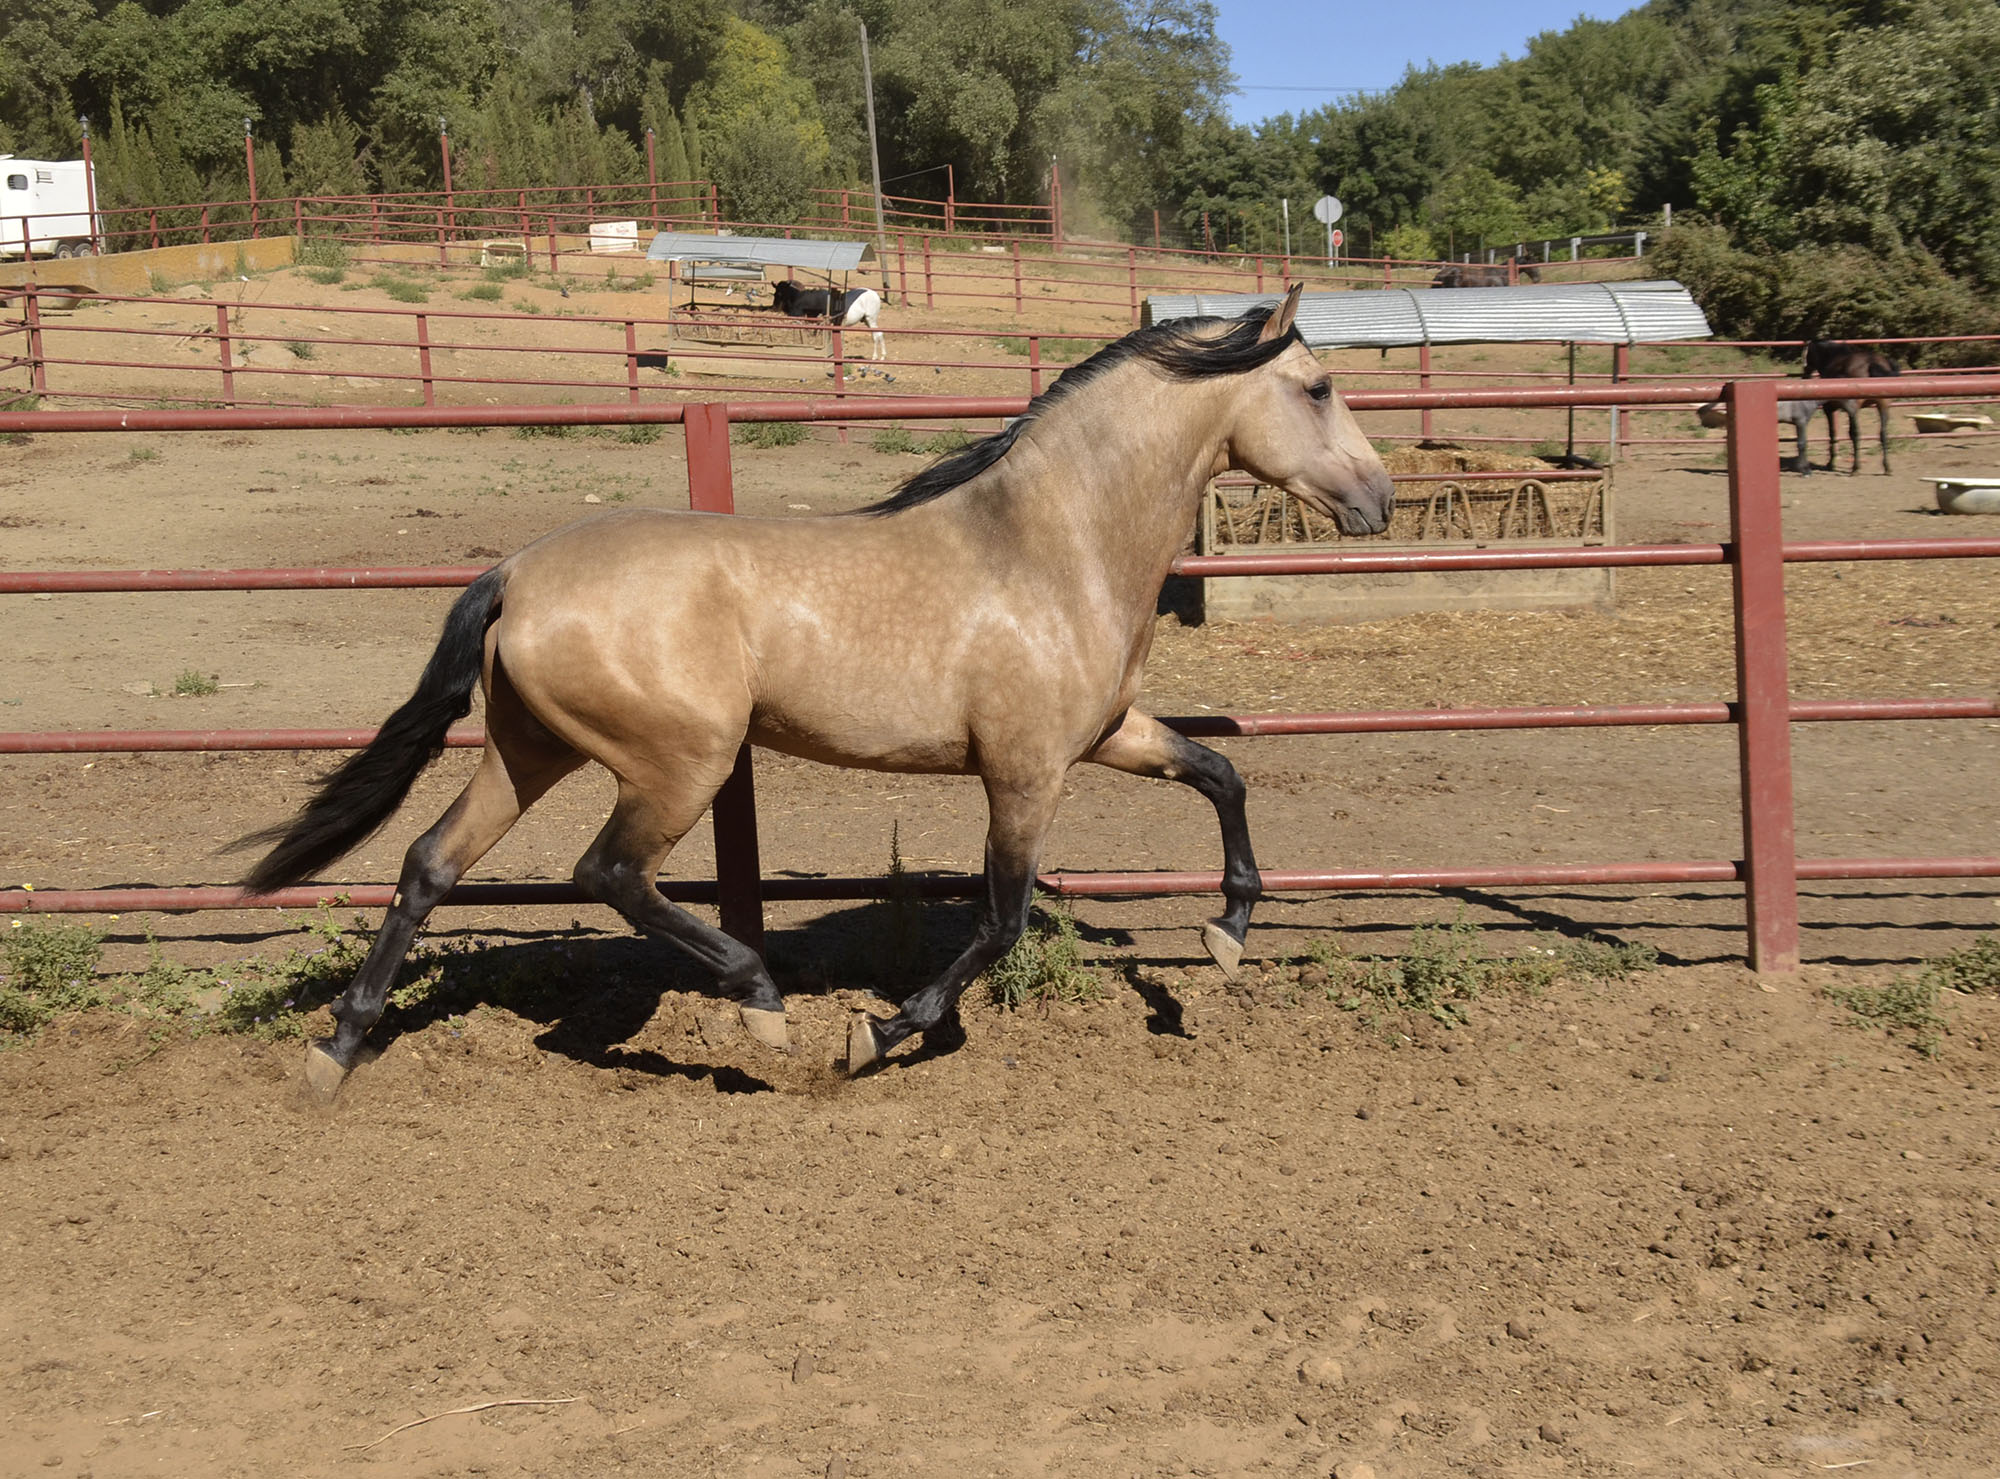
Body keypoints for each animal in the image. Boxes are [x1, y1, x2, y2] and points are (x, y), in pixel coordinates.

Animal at [1808, 335, 1896, 471]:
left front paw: (1831, 463)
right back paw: (1887, 467)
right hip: (1883, 406)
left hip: (1854, 409)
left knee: (1856, 434)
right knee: (1883, 433)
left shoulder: (1830, 409)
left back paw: (1855, 467)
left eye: (1808, 355)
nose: (1805, 374)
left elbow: (1833, 433)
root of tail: (1871, 362)